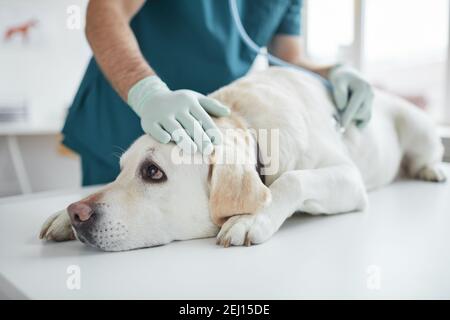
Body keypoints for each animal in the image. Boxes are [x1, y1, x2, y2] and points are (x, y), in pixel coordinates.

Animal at [40, 67, 444, 251]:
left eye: (153, 172)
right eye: (120, 169)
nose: (77, 213)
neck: (247, 124)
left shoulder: (348, 178)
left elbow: (292, 179)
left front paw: (250, 219)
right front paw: (61, 216)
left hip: (418, 127)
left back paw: (431, 169)